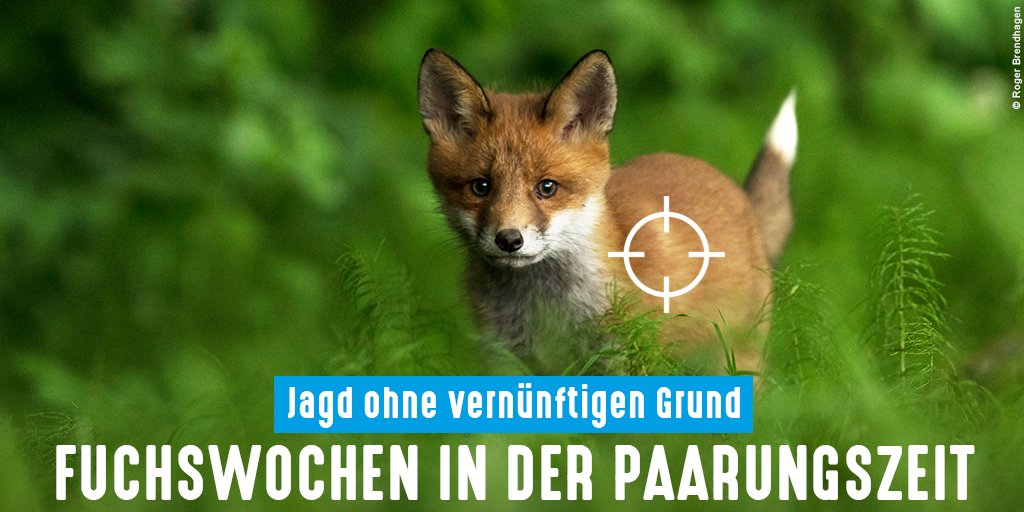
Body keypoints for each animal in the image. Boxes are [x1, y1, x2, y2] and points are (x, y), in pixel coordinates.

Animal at [417, 49, 797, 373]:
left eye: (547, 187)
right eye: (481, 187)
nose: (509, 240)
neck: (545, 309)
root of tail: (738, 195)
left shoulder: (627, 359)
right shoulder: (505, 359)